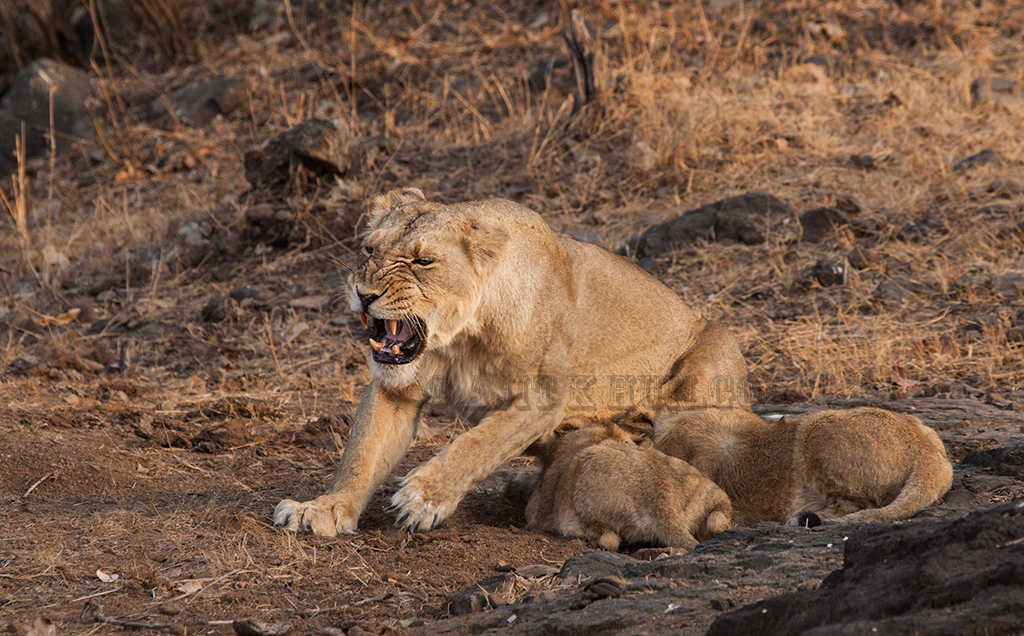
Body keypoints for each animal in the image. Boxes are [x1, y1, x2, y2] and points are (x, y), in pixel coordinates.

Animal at [274, 188, 751, 535]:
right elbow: (361, 455)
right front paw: (324, 508)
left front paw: (424, 497)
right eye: (368, 250)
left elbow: (480, 443)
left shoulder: (543, 397)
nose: (364, 293)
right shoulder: (396, 388)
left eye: (422, 261)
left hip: (709, 364)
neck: (458, 339)